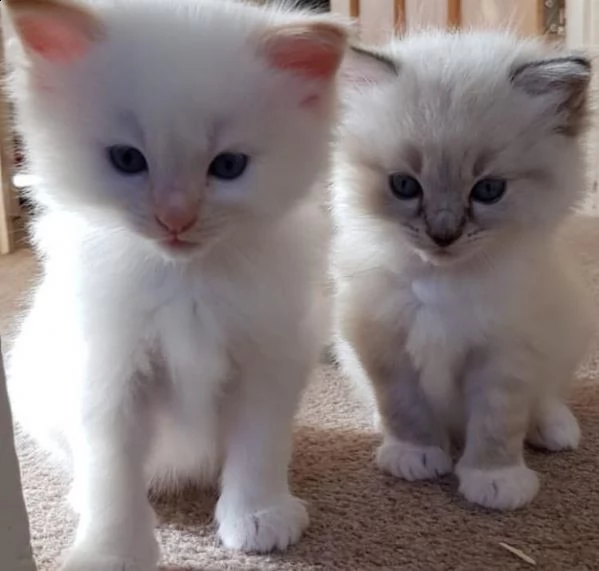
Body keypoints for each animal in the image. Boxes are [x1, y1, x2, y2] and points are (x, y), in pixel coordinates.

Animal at [4, 0, 350, 568]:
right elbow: (113, 473)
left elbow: (257, 449)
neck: (188, 282)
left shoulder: (268, 360)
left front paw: (258, 516)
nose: (176, 219)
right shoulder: (109, 372)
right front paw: (112, 552)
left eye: (228, 166)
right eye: (127, 160)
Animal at [336, 30, 592, 512]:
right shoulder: (383, 339)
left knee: (547, 395)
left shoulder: (506, 350)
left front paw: (495, 481)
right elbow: (402, 406)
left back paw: (554, 429)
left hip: (569, 329)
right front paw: (415, 455)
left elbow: (497, 423)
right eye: (404, 185)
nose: (443, 235)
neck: (444, 283)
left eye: (488, 190)